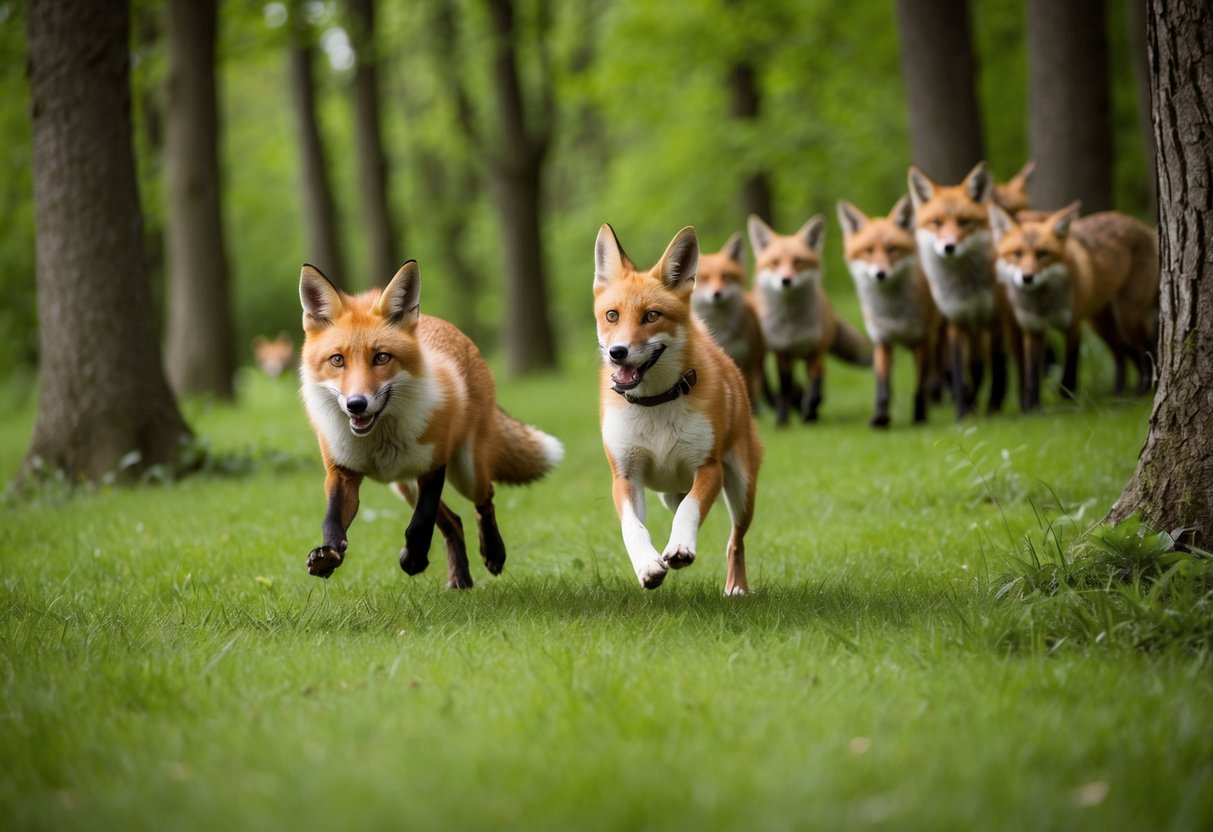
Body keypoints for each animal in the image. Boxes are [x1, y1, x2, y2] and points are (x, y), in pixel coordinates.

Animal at [298, 261, 563, 587]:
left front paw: (413, 559)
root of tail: (447, 326)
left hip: (466, 472)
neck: (378, 440)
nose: (356, 404)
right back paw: (461, 580)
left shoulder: (434, 465)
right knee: (454, 522)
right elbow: (332, 519)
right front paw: (328, 555)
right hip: (404, 486)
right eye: (337, 360)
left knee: (485, 499)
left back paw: (493, 552)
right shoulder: (342, 472)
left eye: (381, 357)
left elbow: (420, 524)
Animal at [747, 214, 872, 426]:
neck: (793, 327)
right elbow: (785, 389)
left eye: (799, 261)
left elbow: (816, 390)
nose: (786, 280)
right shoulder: (783, 355)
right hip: (761, 356)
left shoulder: (816, 353)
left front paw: (809, 413)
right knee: (767, 384)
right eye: (775, 262)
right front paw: (783, 420)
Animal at [837, 195, 941, 427]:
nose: (880, 274)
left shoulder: (922, 341)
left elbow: (919, 385)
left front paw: (920, 417)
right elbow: (883, 388)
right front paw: (881, 418)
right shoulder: (882, 341)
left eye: (893, 249)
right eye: (868, 251)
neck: (894, 313)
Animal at [908, 160, 1020, 418]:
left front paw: (992, 407)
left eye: (964, 222)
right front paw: (962, 412)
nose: (949, 247)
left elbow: (996, 368)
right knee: (955, 367)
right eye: (937, 223)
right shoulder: (956, 323)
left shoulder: (994, 320)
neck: (966, 290)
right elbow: (960, 371)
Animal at [990, 202, 1159, 410]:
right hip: (1102, 325)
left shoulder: (1072, 323)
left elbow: (1070, 362)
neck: (1043, 305)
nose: (1027, 278)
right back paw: (1119, 392)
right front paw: (1031, 406)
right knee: (1121, 354)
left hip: (1128, 318)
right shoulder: (1033, 329)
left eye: (1042, 254)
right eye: (1017, 254)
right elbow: (1032, 374)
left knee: (1147, 349)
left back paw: (1144, 390)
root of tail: (1143, 227)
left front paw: (1066, 394)